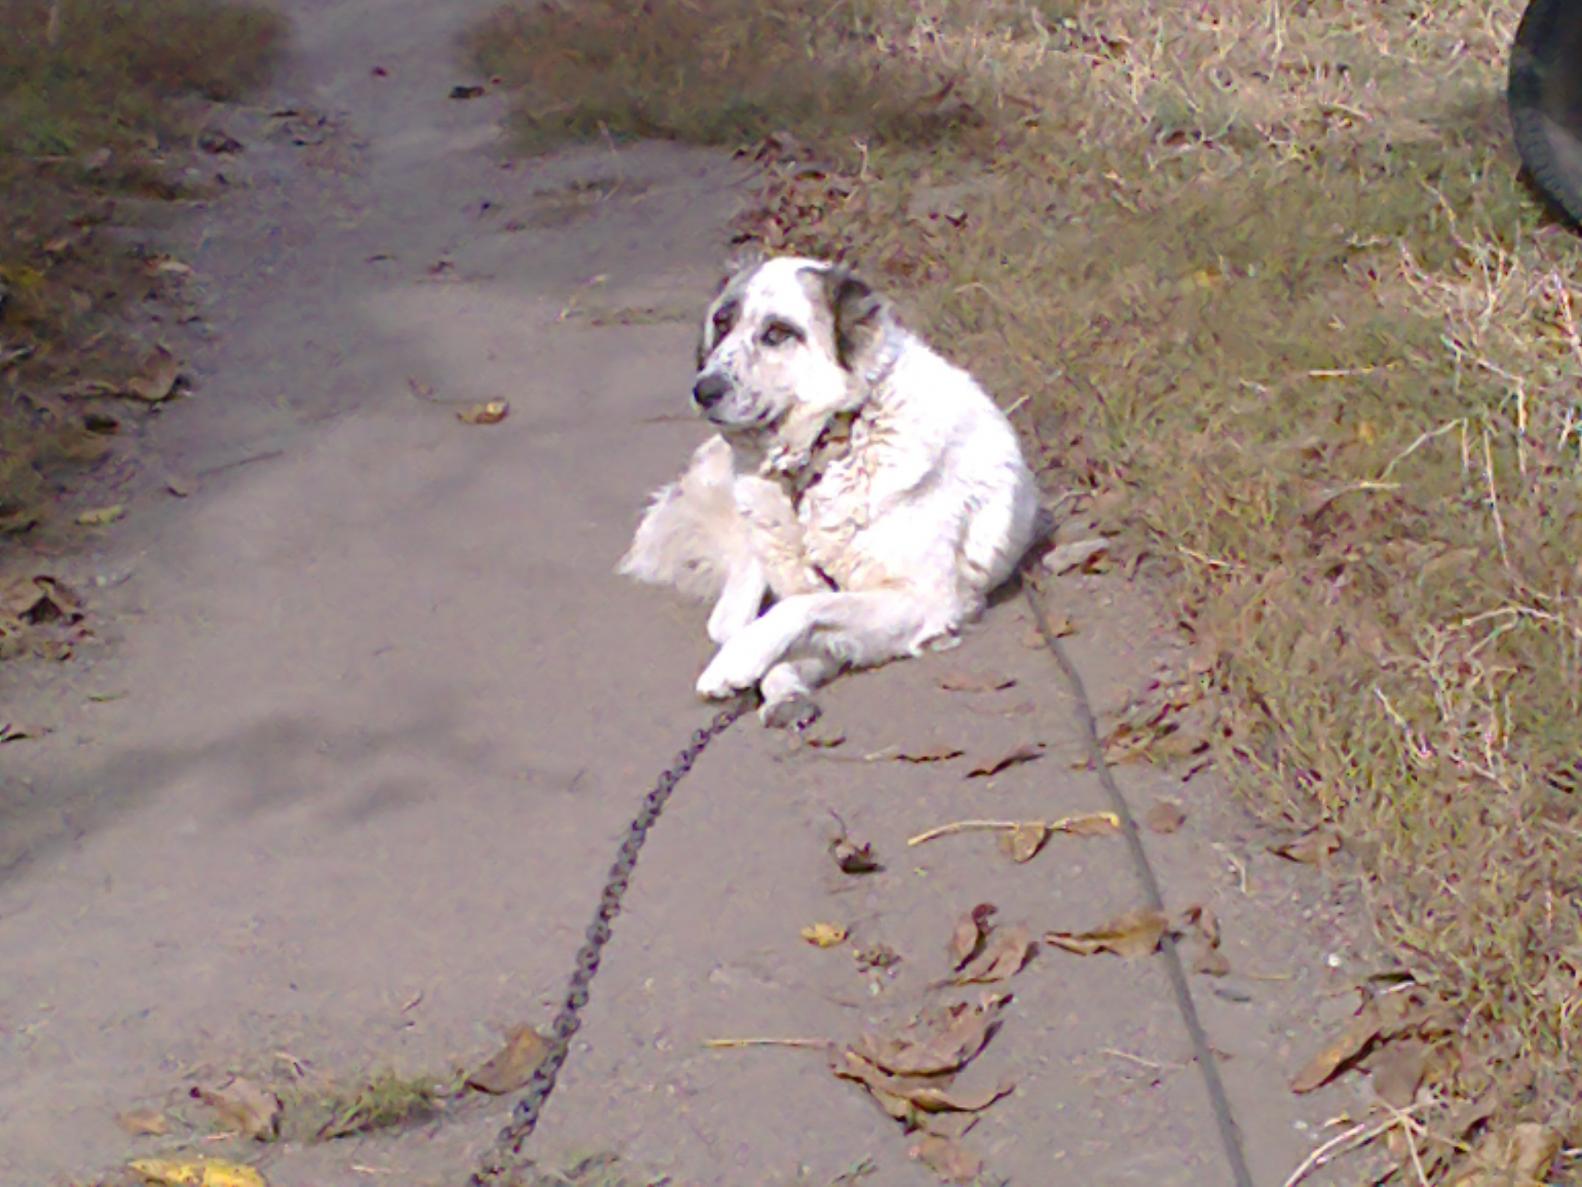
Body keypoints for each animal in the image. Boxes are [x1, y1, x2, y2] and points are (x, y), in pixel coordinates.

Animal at [618, 254, 1042, 726]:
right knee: (729, 615)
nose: (703, 389)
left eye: (777, 332)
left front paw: (741, 664)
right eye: (722, 324)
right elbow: (791, 625)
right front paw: (772, 686)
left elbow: (802, 611)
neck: (831, 450)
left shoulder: (921, 600)